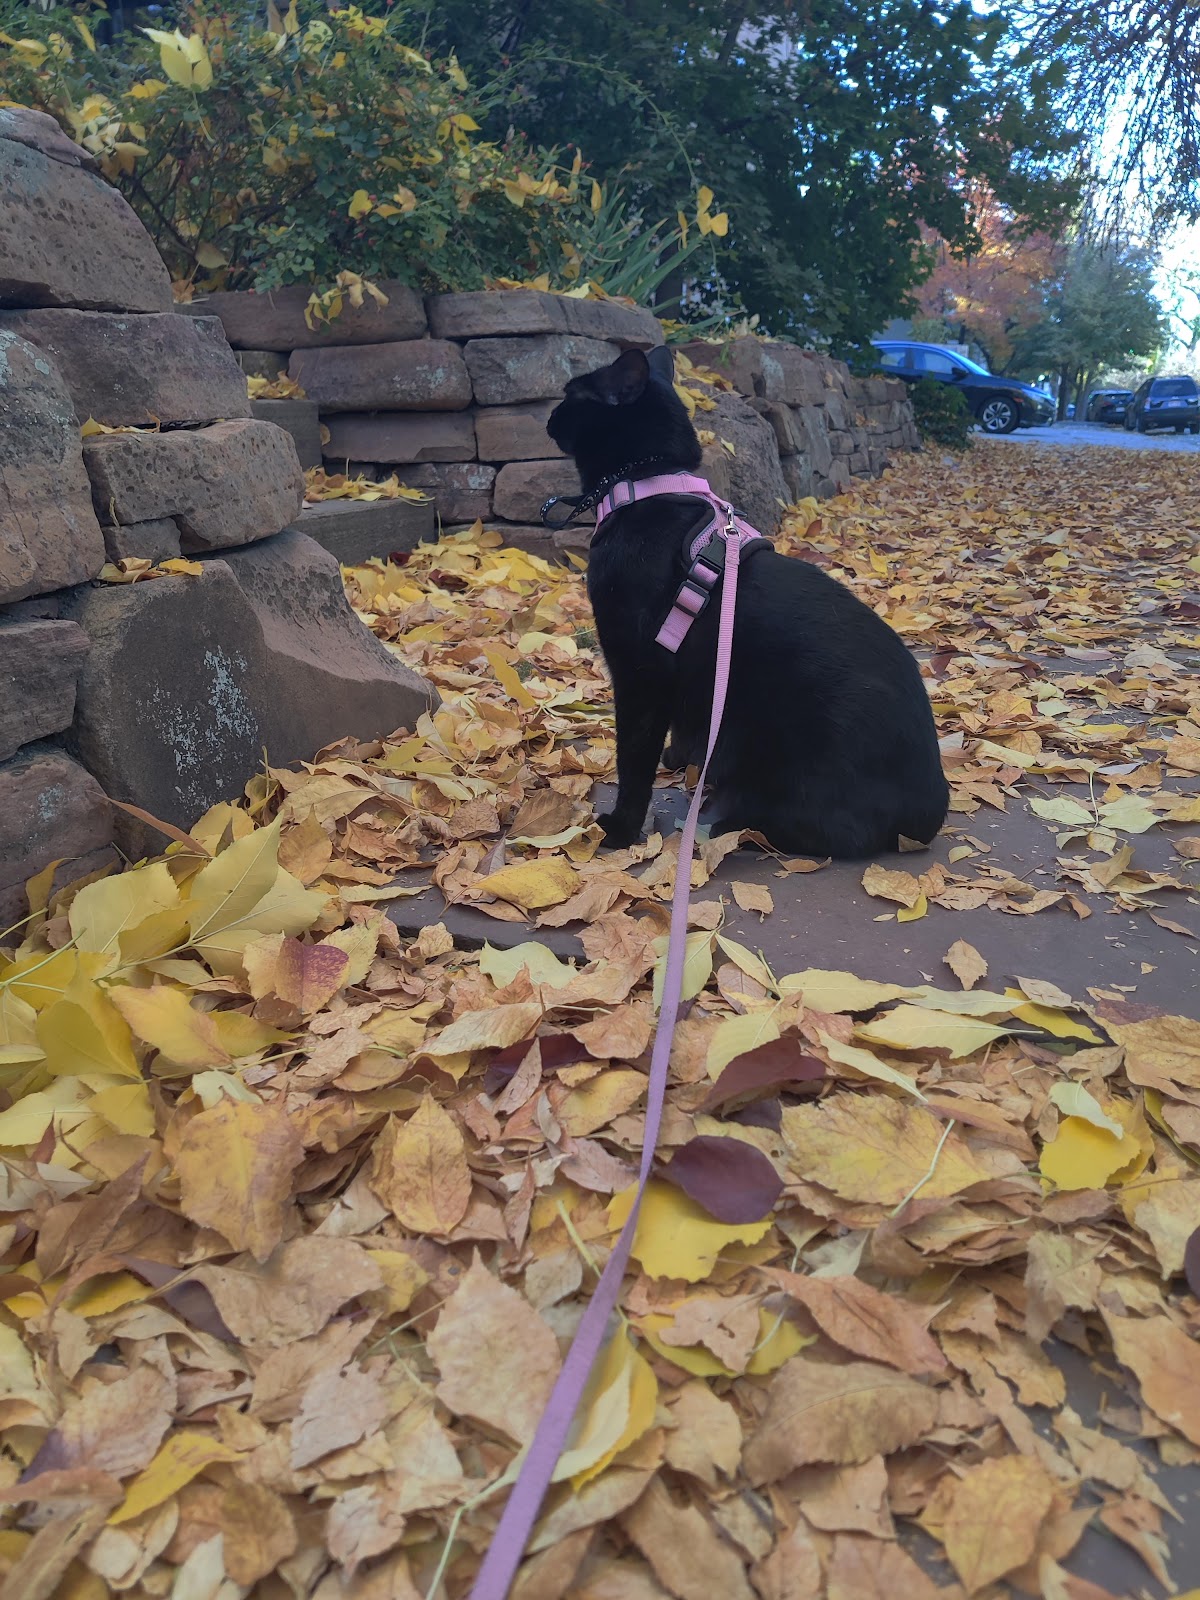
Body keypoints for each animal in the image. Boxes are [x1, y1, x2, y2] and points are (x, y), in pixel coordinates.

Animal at [546, 345, 949, 857]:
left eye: (571, 393)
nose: (550, 416)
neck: (647, 487)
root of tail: (929, 818)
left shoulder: (640, 673)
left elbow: (633, 763)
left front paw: (621, 828)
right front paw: (683, 757)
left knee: (798, 827)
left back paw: (720, 818)